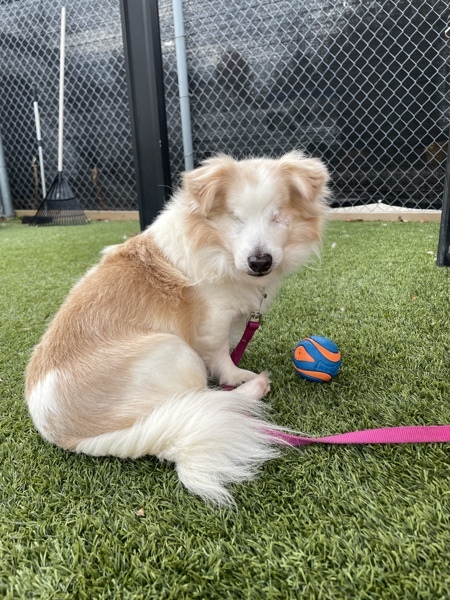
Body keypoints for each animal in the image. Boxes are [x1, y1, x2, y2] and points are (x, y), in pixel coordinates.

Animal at [25, 152, 330, 504]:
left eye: (278, 217)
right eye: (235, 219)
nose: (260, 262)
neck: (216, 250)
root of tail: (66, 435)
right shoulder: (213, 320)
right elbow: (221, 356)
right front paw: (236, 374)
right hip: (177, 352)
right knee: (209, 402)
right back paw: (252, 388)